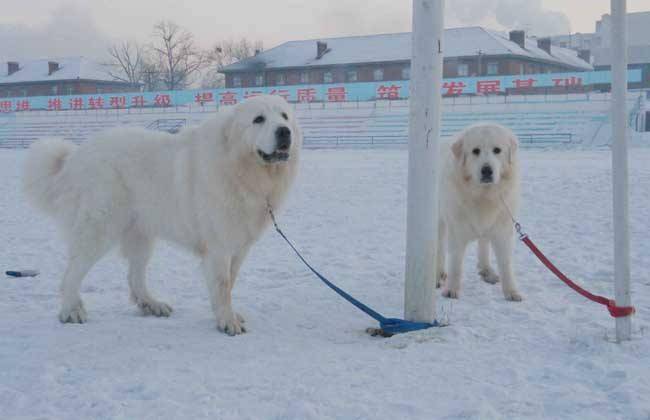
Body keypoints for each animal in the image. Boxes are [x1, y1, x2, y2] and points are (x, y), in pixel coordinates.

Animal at [22, 94, 302, 334]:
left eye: (284, 116)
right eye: (259, 119)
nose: (284, 131)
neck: (243, 170)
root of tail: (73, 158)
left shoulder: (239, 247)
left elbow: (229, 283)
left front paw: (227, 315)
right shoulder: (219, 247)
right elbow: (223, 286)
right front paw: (227, 321)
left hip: (141, 234)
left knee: (134, 277)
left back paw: (151, 304)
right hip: (99, 228)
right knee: (73, 271)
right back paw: (71, 310)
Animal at [436, 122, 520, 302]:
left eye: (497, 150)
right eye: (476, 151)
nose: (487, 170)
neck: (483, 195)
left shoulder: (502, 230)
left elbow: (506, 264)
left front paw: (511, 291)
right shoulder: (457, 230)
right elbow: (455, 263)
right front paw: (451, 290)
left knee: (483, 243)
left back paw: (486, 270)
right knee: (439, 247)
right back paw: (438, 275)